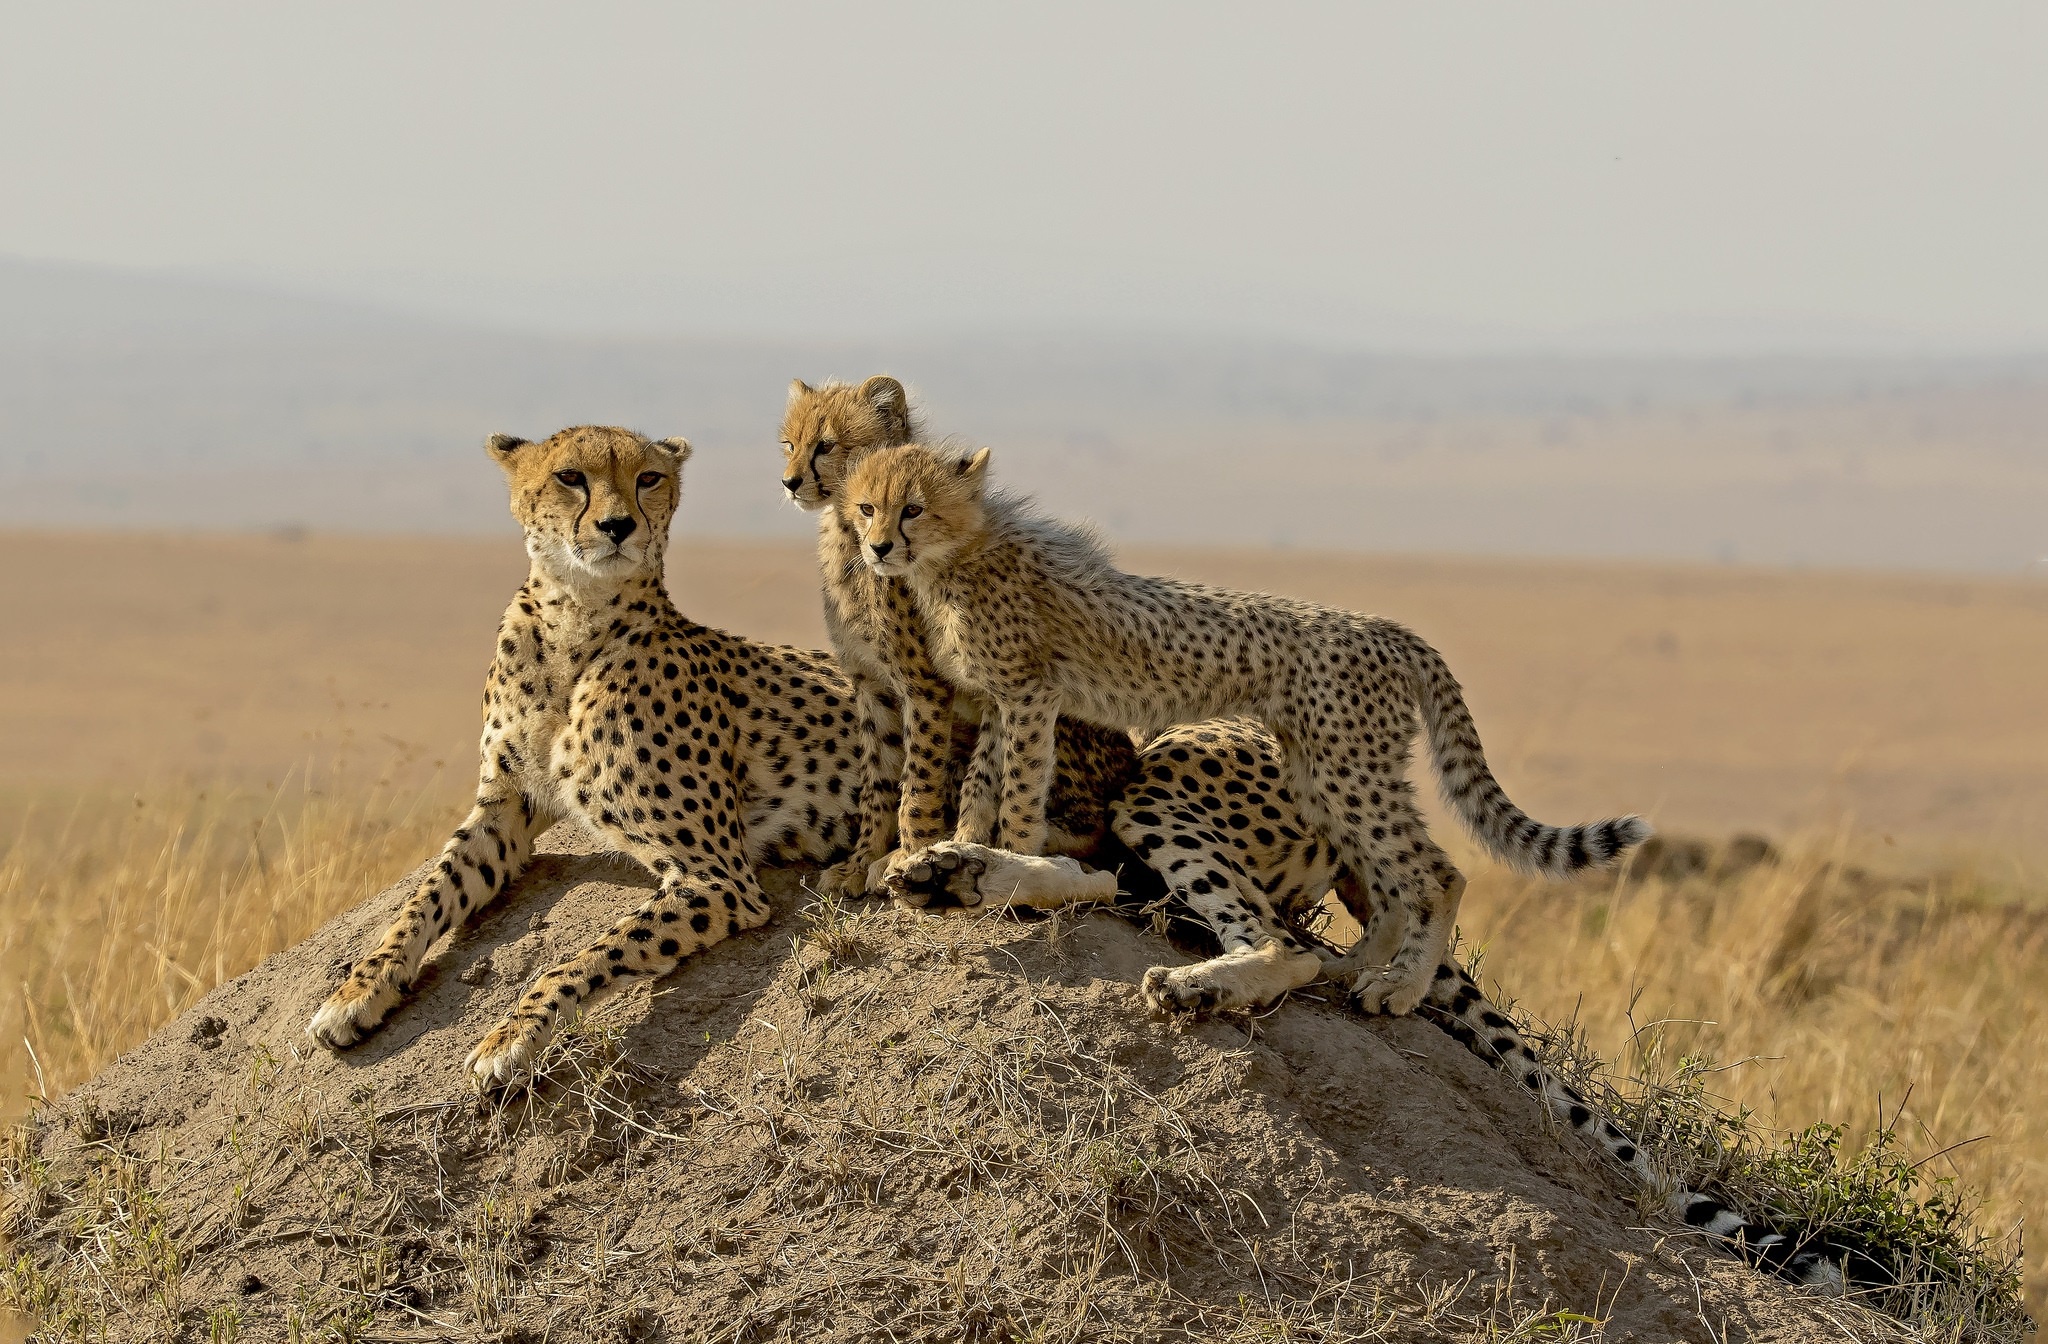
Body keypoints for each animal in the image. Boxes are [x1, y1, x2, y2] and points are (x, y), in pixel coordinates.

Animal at [835, 440, 1646, 1020]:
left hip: (1342, 770)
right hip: (1321, 774)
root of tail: (1388, 629)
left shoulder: (1032, 694)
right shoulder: (1003, 700)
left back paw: (1395, 988)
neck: (965, 550)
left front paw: (1003, 858)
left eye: (913, 509)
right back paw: (1355, 967)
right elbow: (982, 783)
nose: (876, 548)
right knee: (1377, 890)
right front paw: (953, 849)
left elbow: (1021, 794)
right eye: (866, 507)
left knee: (1432, 876)